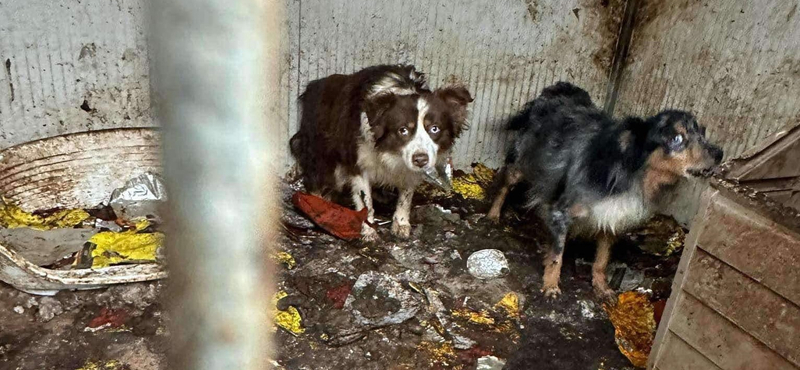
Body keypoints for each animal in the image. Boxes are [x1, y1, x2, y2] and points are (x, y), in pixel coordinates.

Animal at [290, 64, 472, 240]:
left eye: (434, 129)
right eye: (403, 130)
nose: (420, 160)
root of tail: (313, 86)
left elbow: (405, 196)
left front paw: (401, 224)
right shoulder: (358, 161)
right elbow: (365, 200)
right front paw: (369, 230)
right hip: (320, 149)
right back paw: (316, 203)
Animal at [488, 81, 724, 304]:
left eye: (701, 133)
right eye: (677, 139)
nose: (719, 153)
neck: (629, 173)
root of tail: (560, 88)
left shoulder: (612, 218)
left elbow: (602, 260)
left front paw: (601, 287)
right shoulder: (561, 212)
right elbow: (557, 255)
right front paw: (551, 286)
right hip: (523, 163)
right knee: (505, 182)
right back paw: (493, 215)